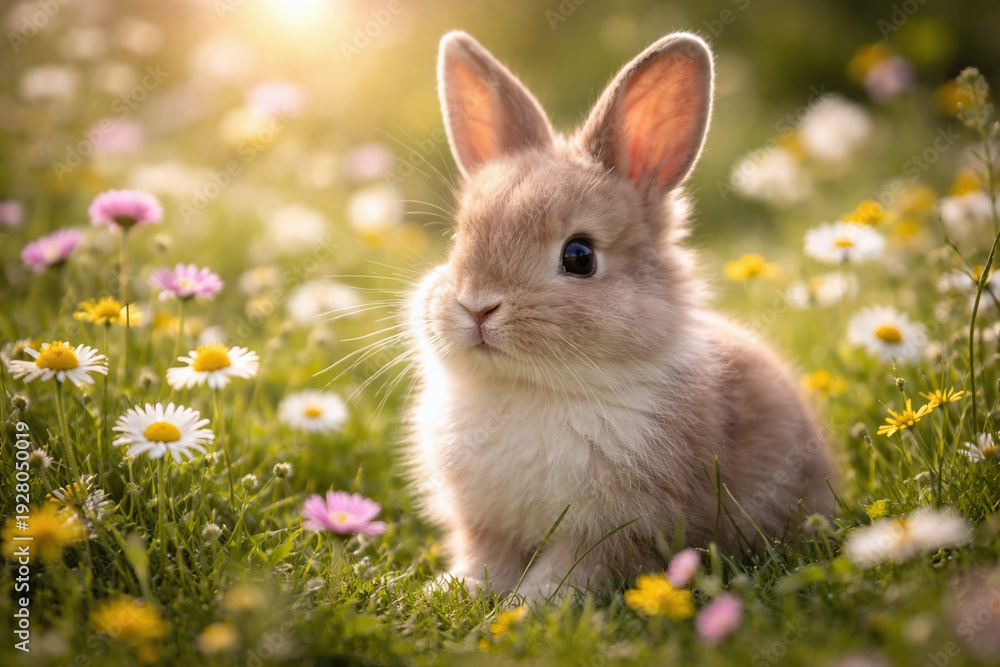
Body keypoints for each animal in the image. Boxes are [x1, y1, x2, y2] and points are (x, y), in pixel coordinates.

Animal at [405, 31, 836, 600]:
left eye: (579, 256)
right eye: (458, 238)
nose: (477, 306)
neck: (531, 386)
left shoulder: (617, 528)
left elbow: (572, 570)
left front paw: (531, 604)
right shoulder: (484, 525)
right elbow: (484, 561)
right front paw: (452, 591)